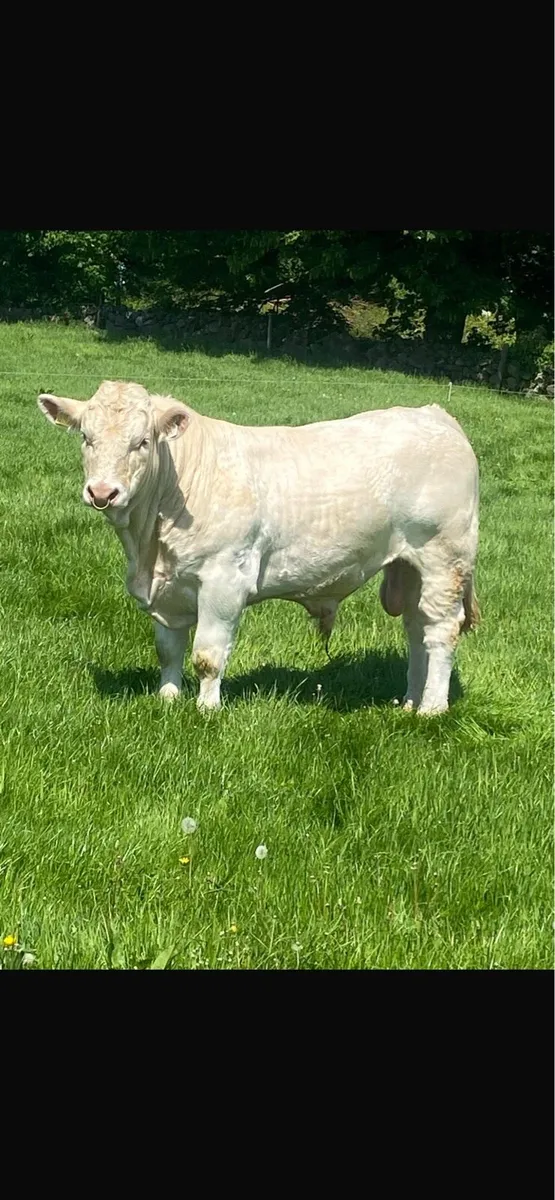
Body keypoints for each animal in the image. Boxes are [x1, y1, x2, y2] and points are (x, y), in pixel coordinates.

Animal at [37, 381, 479, 715]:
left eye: (142, 442)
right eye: (85, 438)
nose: (102, 492)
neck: (149, 546)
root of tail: (436, 415)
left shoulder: (224, 579)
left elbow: (208, 655)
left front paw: (206, 709)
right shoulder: (167, 590)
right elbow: (168, 650)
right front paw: (167, 699)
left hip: (444, 558)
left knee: (440, 629)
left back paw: (431, 709)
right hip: (409, 565)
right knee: (416, 627)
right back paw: (409, 700)